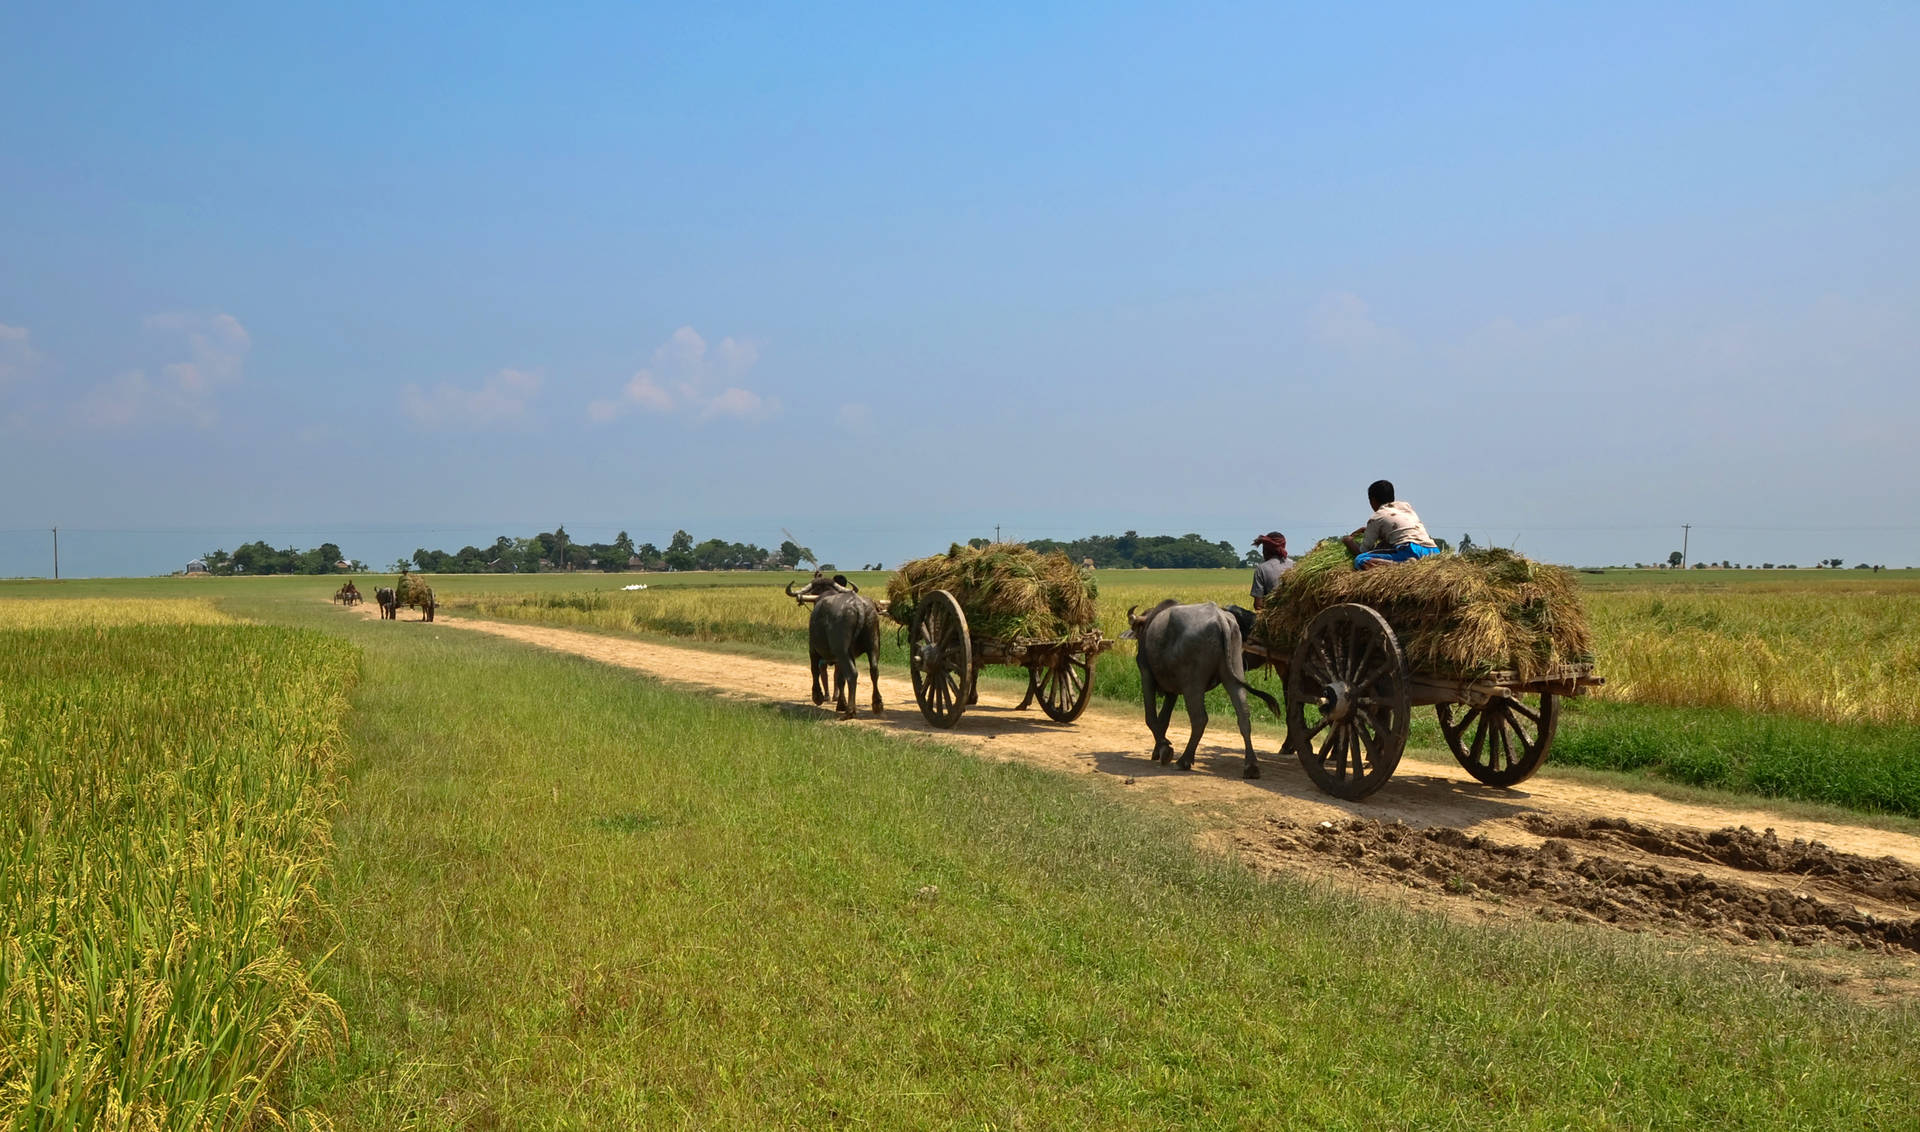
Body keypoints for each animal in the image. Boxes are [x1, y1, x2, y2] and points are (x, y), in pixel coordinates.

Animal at [779, 575, 883, 717]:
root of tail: (858, 605)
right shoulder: (845, 657)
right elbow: (840, 679)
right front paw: (841, 704)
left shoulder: (813, 649)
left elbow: (814, 670)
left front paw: (817, 696)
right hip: (873, 645)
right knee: (874, 670)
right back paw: (877, 705)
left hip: (842, 651)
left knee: (852, 674)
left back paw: (850, 711)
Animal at [1121, 602, 1274, 782]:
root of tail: (1220, 619)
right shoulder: (1172, 691)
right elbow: (1163, 720)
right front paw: (1158, 749)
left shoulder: (1147, 675)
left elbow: (1151, 718)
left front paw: (1164, 749)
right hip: (1233, 673)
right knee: (1243, 716)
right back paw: (1251, 767)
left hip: (1193, 685)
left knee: (1200, 719)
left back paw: (1184, 760)